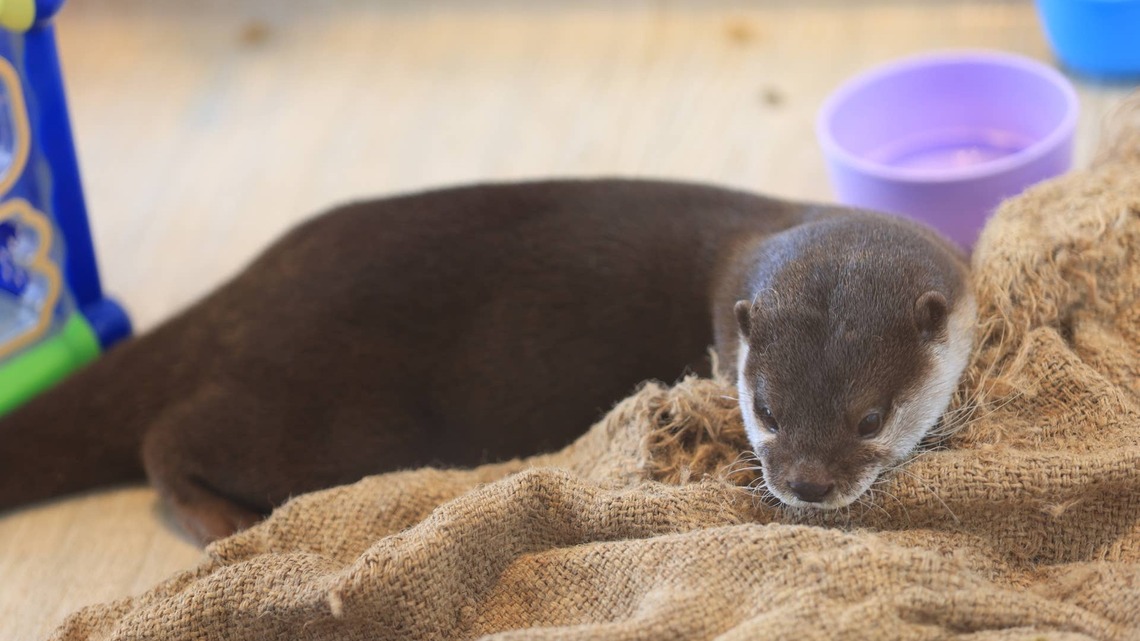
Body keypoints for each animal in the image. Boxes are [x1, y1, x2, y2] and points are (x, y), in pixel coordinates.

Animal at [0, 179, 973, 543]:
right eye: (764, 408)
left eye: (870, 416)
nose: (806, 483)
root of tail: (240, 294)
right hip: (322, 419)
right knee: (165, 440)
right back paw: (223, 520)